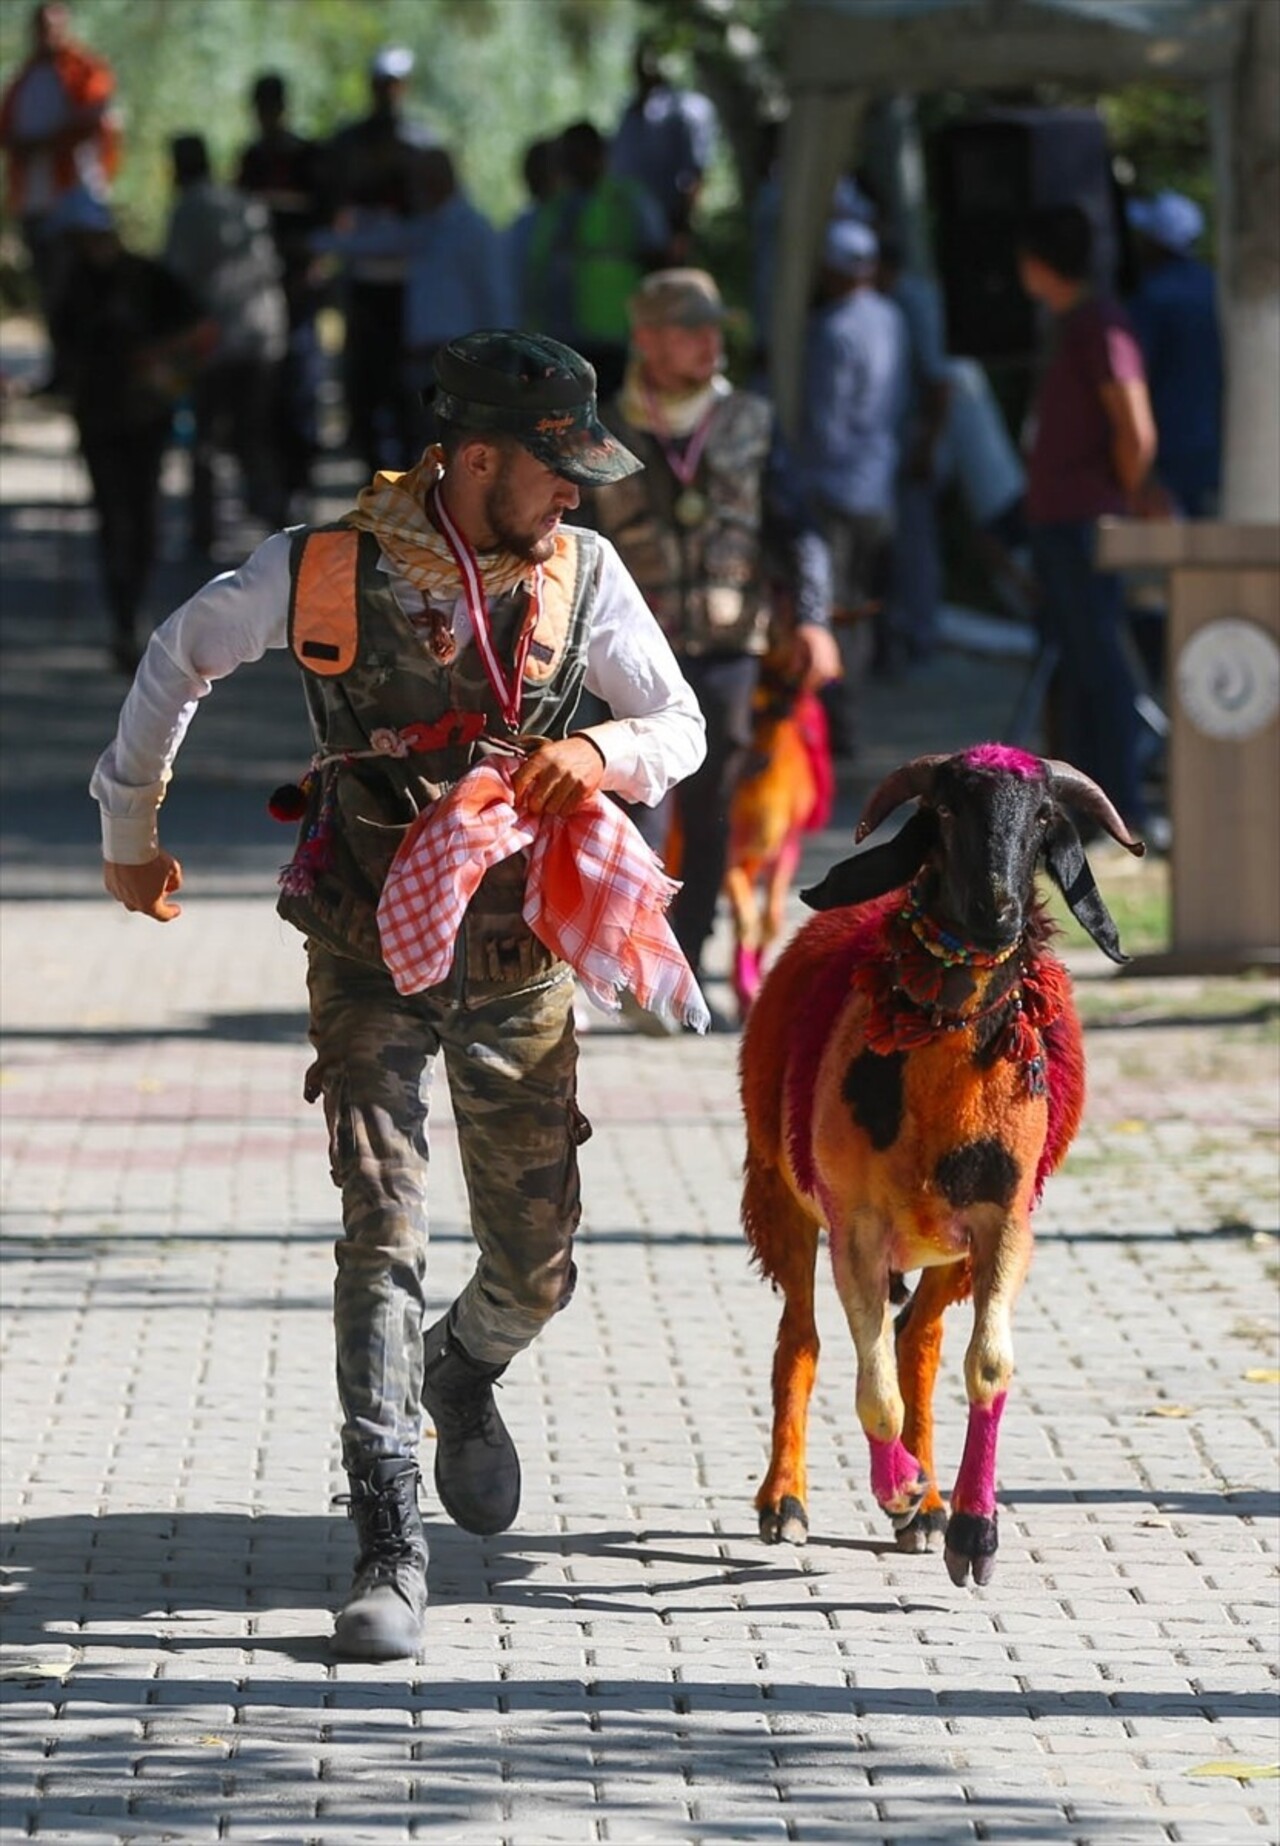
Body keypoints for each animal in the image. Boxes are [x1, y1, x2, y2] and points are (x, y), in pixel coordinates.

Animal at [735, 742, 1145, 1580]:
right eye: (948, 810)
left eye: (1044, 816)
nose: (999, 911)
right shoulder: (855, 1230)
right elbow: (873, 1392)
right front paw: (896, 1488)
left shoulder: (1004, 1224)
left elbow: (984, 1365)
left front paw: (970, 1529)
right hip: (782, 1199)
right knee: (803, 1340)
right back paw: (789, 1501)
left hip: (945, 1253)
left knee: (916, 1344)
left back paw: (927, 1510)